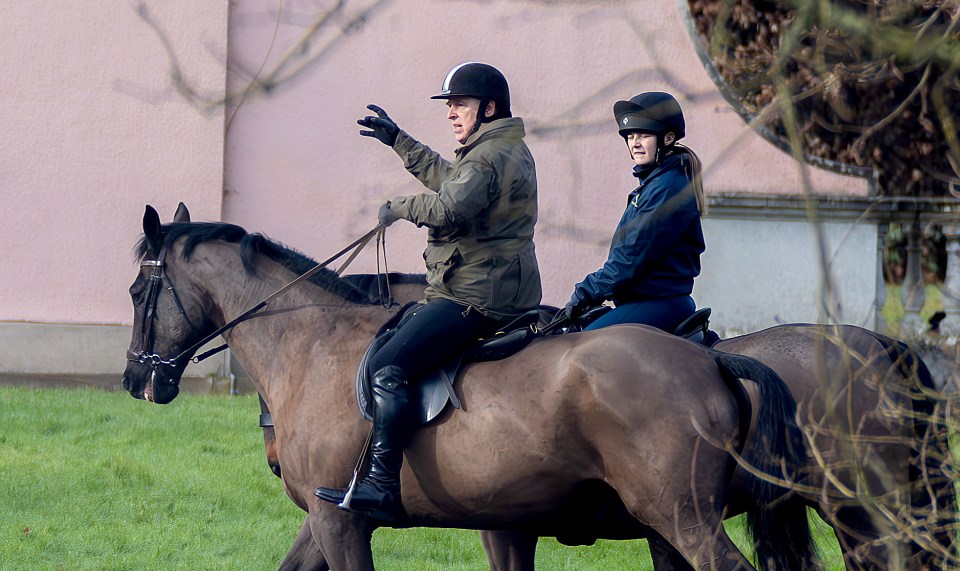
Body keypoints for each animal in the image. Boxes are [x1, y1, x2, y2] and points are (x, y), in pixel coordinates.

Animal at [118, 206, 808, 571]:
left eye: (137, 291)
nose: (136, 379)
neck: (313, 343)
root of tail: (710, 362)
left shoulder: (339, 520)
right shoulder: (328, 520)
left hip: (682, 516)